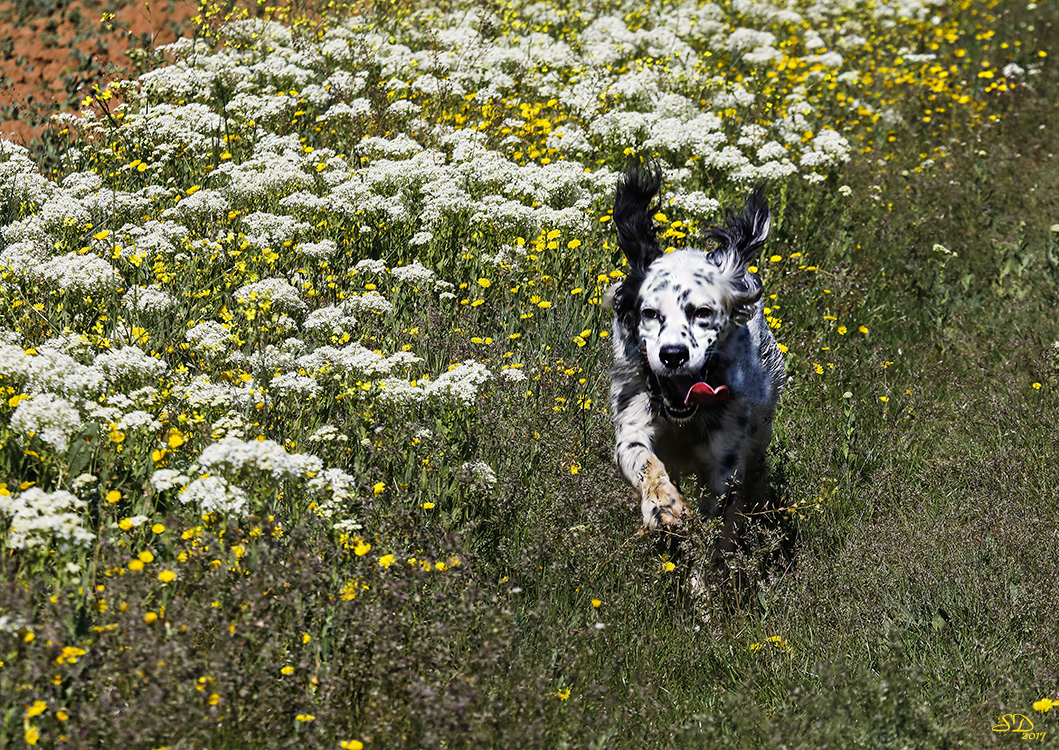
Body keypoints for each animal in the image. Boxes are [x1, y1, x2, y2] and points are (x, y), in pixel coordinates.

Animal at [609, 164, 783, 542]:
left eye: (702, 312)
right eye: (649, 313)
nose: (673, 354)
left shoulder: (726, 455)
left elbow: (720, 509)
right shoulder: (634, 419)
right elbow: (643, 459)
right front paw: (664, 505)